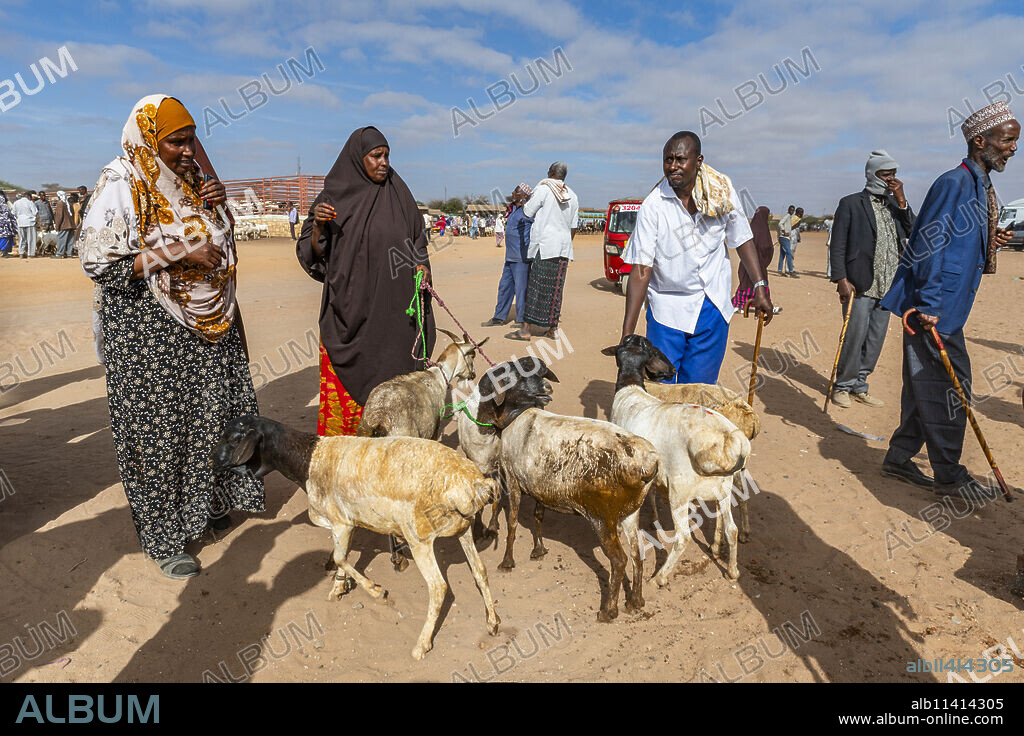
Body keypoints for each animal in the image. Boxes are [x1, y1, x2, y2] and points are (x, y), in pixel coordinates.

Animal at [212, 415, 500, 660]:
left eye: (233, 438)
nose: (212, 460)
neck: (309, 459)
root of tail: (473, 484)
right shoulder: (346, 525)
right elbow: (341, 556)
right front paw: (338, 587)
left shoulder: (341, 522)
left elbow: (341, 557)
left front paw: (374, 590)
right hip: (462, 530)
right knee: (480, 570)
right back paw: (493, 622)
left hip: (419, 537)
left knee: (439, 587)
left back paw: (421, 645)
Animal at [479, 366, 664, 622]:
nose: (481, 423)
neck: (520, 417)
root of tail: (647, 462)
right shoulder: (540, 486)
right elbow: (538, 515)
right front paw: (538, 551)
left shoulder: (513, 479)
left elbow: (513, 522)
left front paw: (507, 562)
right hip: (630, 513)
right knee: (637, 555)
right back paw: (635, 602)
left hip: (603, 518)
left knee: (619, 560)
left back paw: (608, 611)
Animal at [642, 381, 760, 543]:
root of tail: (750, 415)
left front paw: (654, 518)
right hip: (734, 468)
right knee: (740, 493)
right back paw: (744, 533)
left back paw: (716, 543)